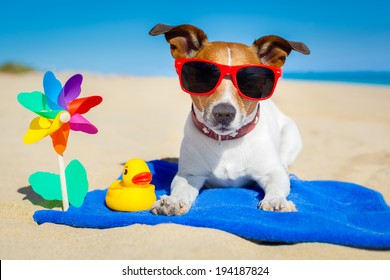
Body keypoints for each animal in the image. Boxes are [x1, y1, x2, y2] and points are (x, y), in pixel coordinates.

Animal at [149, 24, 310, 217]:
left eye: (251, 80)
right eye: (203, 76)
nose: (224, 113)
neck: (226, 143)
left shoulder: (271, 172)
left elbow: (277, 184)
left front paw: (275, 200)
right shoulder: (189, 175)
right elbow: (181, 187)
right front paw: (173, 201)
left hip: (291, 136)